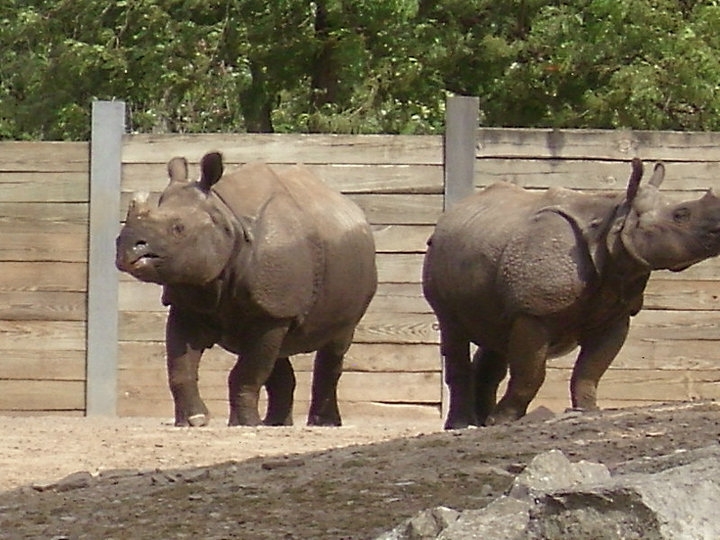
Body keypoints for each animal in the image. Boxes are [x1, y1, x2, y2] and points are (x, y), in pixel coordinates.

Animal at [116, 151, 377, 427]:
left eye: (179, 228)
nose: (126, 247)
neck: (227, 221)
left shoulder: (274, 310)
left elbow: (246, 372)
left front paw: (243, 424)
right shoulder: (188, 298)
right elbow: (180, 367)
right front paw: (194, 421)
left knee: (335, 344)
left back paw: (322, 423)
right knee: (277, 353)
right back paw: (276, 424)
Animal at [423, 158, 720, 429]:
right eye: (681, 214)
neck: (616, 220)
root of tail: (448, 216)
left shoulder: (617, 314)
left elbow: (590, 370)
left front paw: (587, 412)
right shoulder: (534, 311)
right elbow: (531, 373)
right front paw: (504, 420)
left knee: (495, 335)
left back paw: (482, 422)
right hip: (438, 257)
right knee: (453, 329)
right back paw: (462, 425)